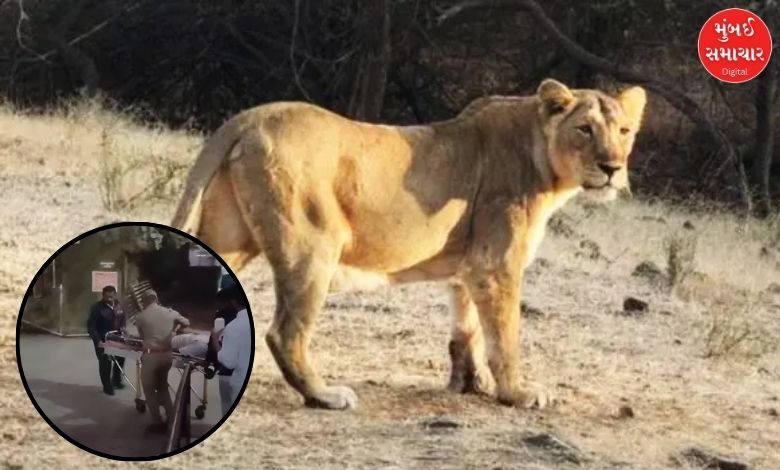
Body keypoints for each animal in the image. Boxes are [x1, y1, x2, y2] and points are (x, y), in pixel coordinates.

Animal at [172, 78, 646, 410]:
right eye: (585, 129)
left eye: (624, 131)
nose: (612, 167)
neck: (542, 158)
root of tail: (252, 116)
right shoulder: (497, 263)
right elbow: (505, 335)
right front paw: (516, 392)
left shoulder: (469, 267)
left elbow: (468, 330)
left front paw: (470, 384)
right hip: (313, 246)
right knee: (285, 333)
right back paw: (324, 396)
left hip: (231, 236)